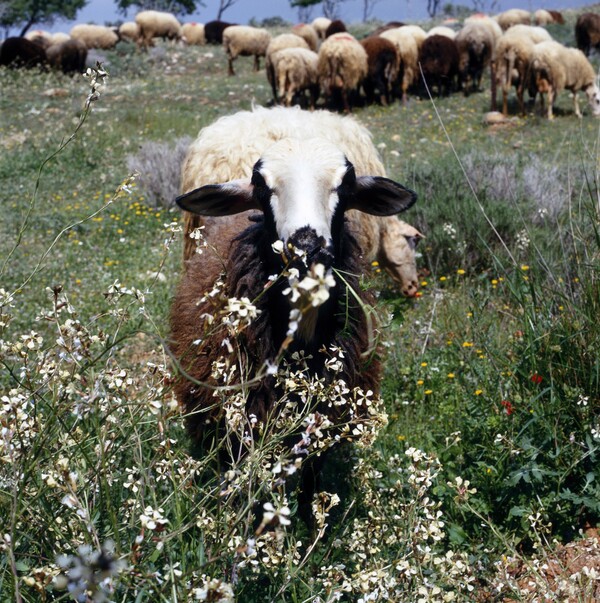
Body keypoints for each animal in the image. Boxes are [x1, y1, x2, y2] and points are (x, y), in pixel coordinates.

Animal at [172, 105, 418, 510]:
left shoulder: (324, 416)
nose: (306, 248)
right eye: (260, 184)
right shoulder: (242, 418)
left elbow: (311, 480)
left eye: (346, 184)